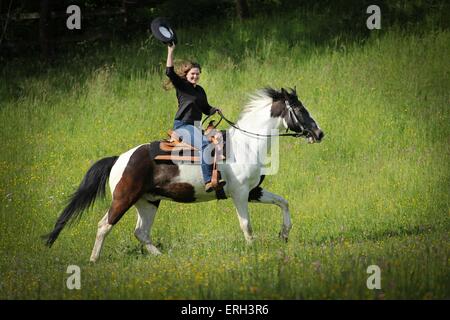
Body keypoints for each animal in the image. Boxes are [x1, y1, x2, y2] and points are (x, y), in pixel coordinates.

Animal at [44, 86, 324, 262]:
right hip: (124, 199)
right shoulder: (240, 193)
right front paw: (252, 250)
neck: (246, 144)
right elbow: (246, 224)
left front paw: (284, 234)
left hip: (148, 202)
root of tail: (120, 159)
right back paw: (94, 260)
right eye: (300, 110)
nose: (319, 133)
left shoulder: (254, 191)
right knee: (104, 225)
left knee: (141, 232)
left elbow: (283, 202)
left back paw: (160, 257)